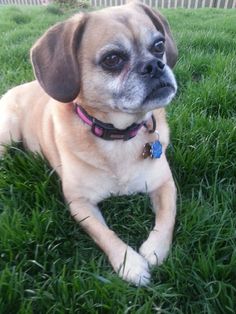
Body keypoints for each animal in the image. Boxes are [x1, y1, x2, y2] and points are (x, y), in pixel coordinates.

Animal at [0, 1, 177, 286]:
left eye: (159, 45)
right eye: (112, 59)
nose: (155, 65)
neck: (119, 136)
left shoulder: (165, 184)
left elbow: (168, 216)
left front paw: (155, 249)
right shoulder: (79, 203)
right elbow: (104, 234)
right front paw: (130, 263)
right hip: (7, 135)